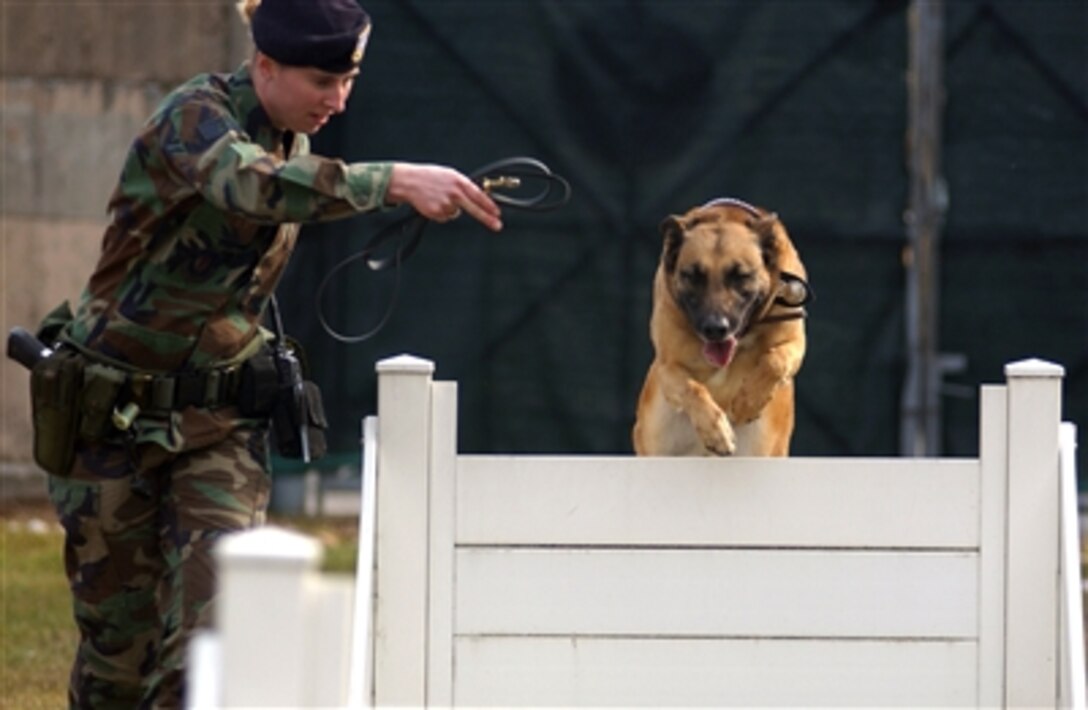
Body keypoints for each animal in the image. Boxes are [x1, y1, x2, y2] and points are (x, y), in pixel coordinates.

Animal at [631, 196, 809, 456]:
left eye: (741, 275)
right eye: (692, 276)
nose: (715, 329)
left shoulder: (795, 343)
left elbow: (775, 360)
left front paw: (747, 404)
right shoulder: (668, 365)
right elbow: (691, 387)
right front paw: (716, 431)